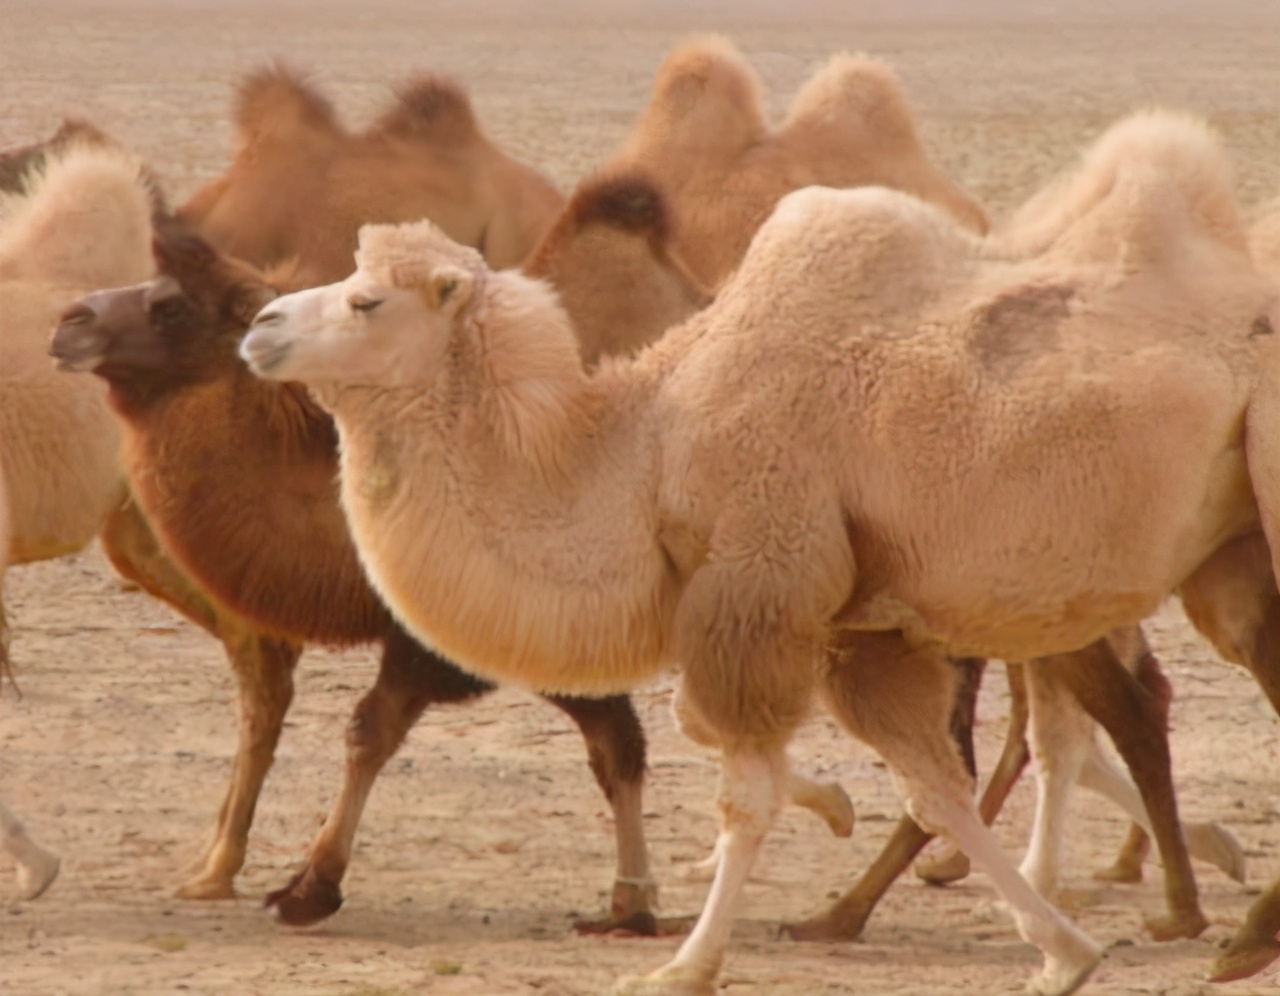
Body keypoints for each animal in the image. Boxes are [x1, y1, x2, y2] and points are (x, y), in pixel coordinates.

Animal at [235, 110, 1280, 993]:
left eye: (367, 301)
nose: (260, 325)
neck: (648, 451)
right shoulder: (858, 623)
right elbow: (927, 784)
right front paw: (1062, 952)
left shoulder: (761, 574)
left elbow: (744, 788)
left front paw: (683, 963)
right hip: (1223, 547)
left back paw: (1240, 933)